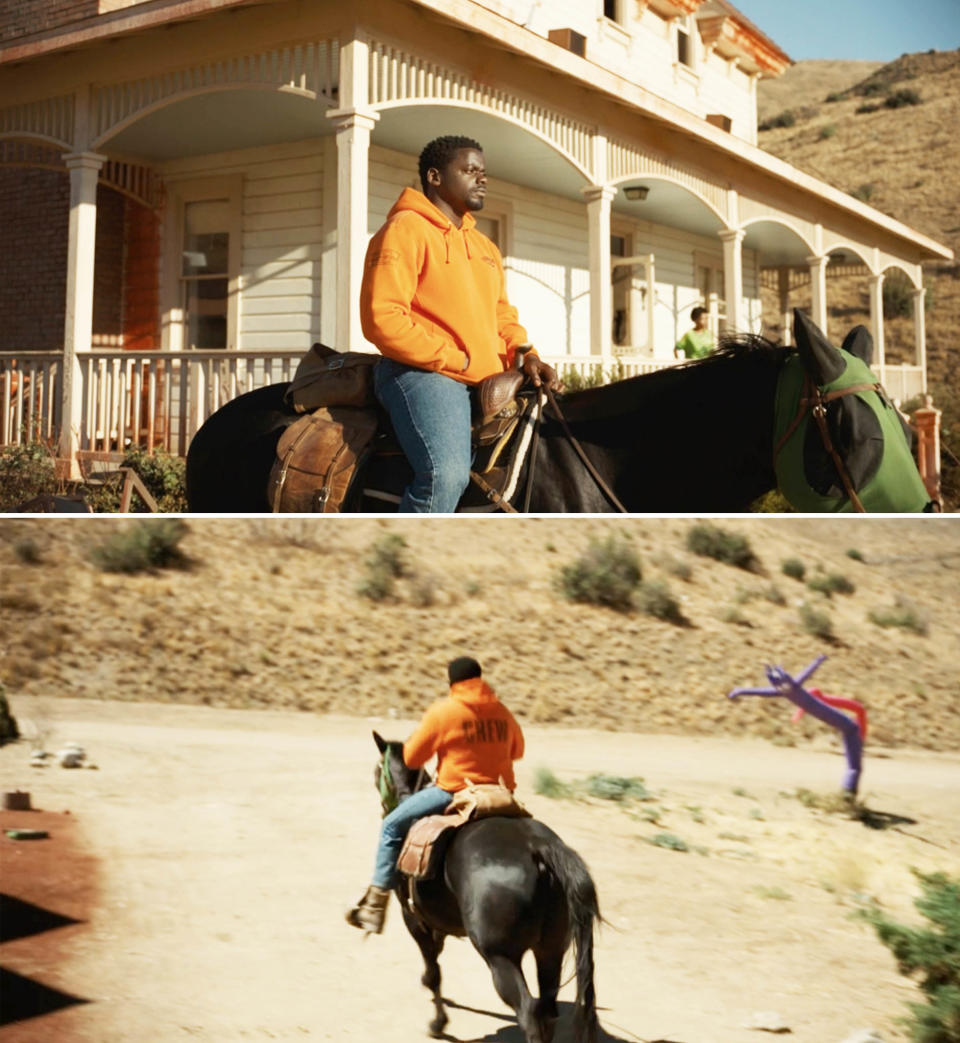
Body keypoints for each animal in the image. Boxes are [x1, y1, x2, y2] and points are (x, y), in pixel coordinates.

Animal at [371, 734, 596, 1043]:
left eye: (375, 771)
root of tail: (538, 847)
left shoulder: (413, 917)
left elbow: (433, 969)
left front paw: (438, 1023)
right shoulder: (438, 921)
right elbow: (435, 961)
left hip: (500, 957)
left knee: (529, 1012)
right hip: (551, 949)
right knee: (548, 1010)